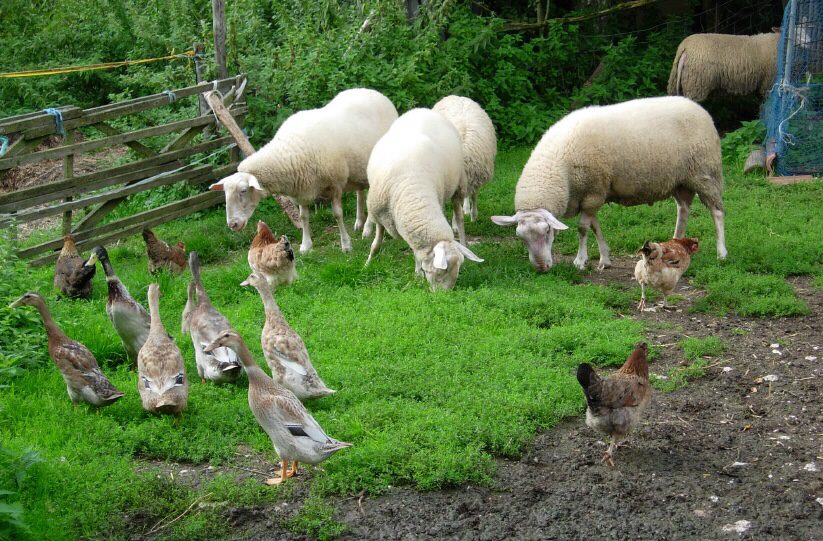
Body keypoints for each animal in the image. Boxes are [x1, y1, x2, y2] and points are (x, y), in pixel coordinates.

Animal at [210, 88, 398, 253]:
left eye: (243, 190)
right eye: (225, 193)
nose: (232, 225)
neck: (290, 150)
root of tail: (374, 92)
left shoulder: (335, 184)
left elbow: (337, 215)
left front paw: (346, 245)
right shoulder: (301, 189)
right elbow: (303, 217)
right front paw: (306, 245)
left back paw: (367, 228)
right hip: (357, 170)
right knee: (360, 192)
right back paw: (360, 223)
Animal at [365, 108, 483, 291]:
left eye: (457, 270)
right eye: (443, 270)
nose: (445, 295)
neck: (413, 192)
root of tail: (423, 110)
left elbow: (416, 252)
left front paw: (417, 273)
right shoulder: (378, 214)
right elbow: (376, 244)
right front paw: (368, 263)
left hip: (458, 186)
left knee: (459, 218)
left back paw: (463, 240)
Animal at [491, 96, 727, 272]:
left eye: (548, 232)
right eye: (521, 238)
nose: (541, 268)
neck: (560, 168)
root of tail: (698, 107)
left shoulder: (593, 191)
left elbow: (583, 228)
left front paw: (580, 261)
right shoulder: (593, 195)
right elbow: (595, 226)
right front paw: (605, 258)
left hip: (705, 172)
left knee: (716, 212)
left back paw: (722, 252)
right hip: (680, 180)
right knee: (683, 209)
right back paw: (675, 244)